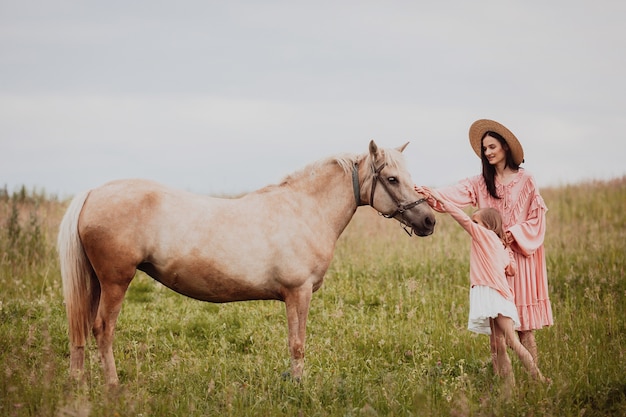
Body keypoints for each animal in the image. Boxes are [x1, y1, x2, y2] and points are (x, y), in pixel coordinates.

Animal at [57, 138, 434, 386]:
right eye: (392, 179)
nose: (429, 220)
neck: (305, 209)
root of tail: (93, 193)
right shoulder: (299, 293)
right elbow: (297, 343)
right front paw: (299, 387)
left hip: (95, 282)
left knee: (81, 326)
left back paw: (79, 382)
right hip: (116, 282)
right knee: (103, 329)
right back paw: (113, 386)